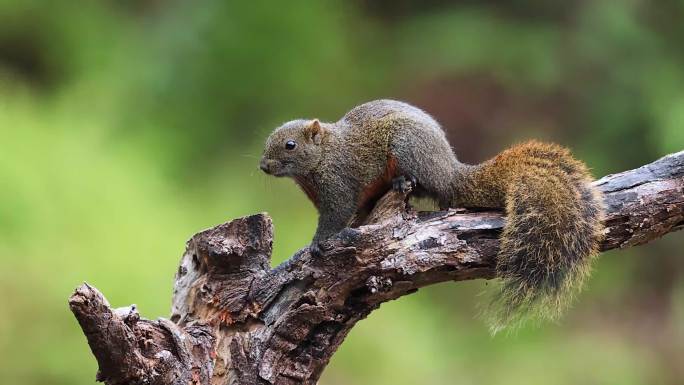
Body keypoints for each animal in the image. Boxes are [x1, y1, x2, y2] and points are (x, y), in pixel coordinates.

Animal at [260, 99, 604, 330]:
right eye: (268, 142)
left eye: (290, 145)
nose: (263, 166)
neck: (322, 157)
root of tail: (449, 172)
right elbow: (353, 214)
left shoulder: (339, 184)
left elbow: (336, 216)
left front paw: (318, 243)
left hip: (407, 148)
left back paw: (403, 181)